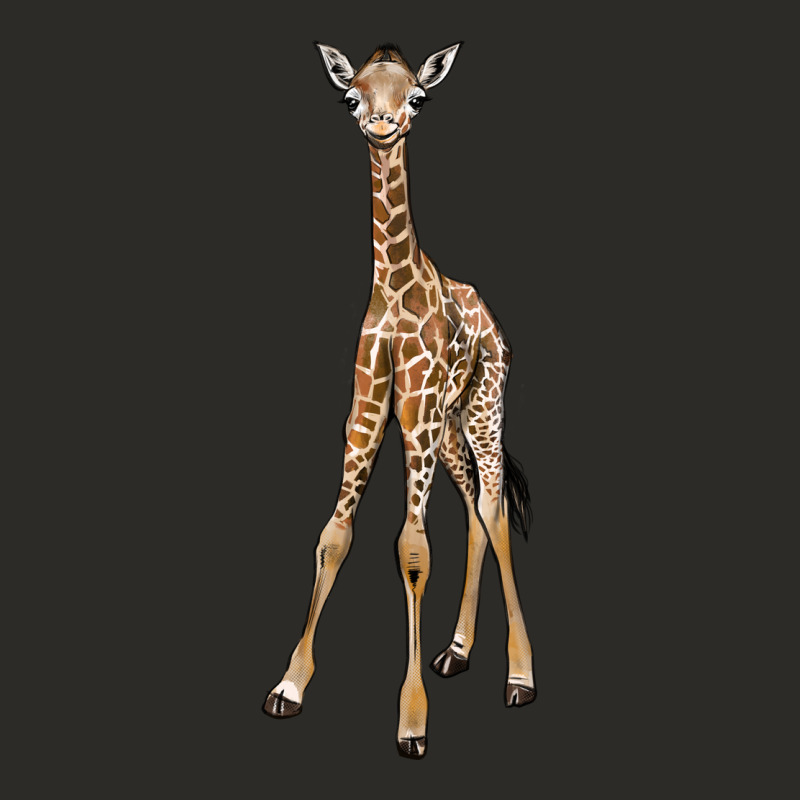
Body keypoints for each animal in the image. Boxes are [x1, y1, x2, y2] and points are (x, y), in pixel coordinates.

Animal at [264, 42, 536, 759]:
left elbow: (413, 550)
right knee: (475, 509)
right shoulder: (365, 417)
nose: (382, 126)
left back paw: (520, 676)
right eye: (351, 96)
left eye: (417, 96)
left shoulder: (411, 419)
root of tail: (493, 320)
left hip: (482, 409)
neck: (392, 287)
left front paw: (412, 722)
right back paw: (457, 651)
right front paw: (289, 684)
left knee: (494, 505)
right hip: (448, 426)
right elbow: (333, 537)